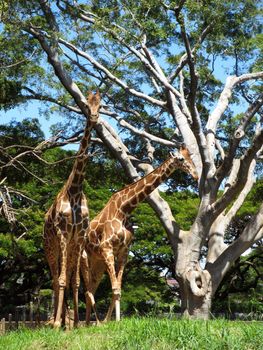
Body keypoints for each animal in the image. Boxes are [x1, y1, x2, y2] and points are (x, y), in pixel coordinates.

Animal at [81, 146, 199, 324]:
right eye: (181, 159)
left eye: (190, 157)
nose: (196, 175)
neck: (124, 209)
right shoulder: (107, 247)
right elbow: (114, 288)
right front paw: (108, 322)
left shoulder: (123, 251)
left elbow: (118, 289)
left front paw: (116, 321)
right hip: (87, 259)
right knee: (87, 291)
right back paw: (91, 323)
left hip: (99, 263)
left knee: (92, 290)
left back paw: (90, 323)